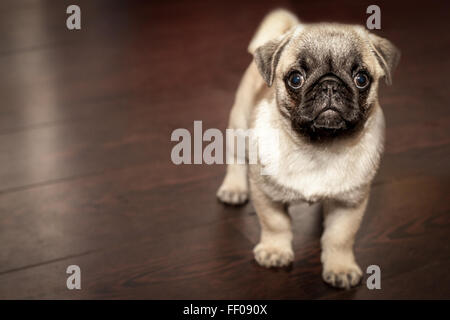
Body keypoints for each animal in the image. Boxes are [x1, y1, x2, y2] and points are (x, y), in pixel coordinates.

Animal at [216, 9, 400, 290]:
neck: (318, 146)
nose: (330, 85)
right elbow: (276, 224)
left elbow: (340, 237)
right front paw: (275, 251)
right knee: (236, 158)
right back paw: (234, 189)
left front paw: (340, 268)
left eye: (361, 79)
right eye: (295, 79)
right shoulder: (266, 194)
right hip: (239, 124)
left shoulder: (349, 204)